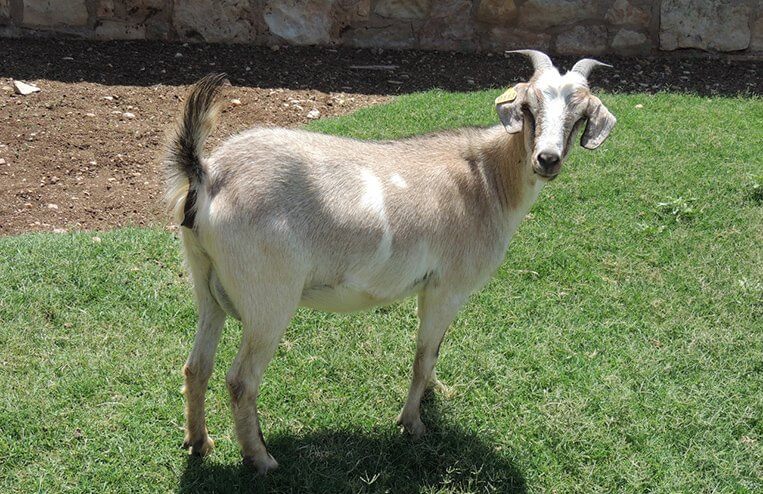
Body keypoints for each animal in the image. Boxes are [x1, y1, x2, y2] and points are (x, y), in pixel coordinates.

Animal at [164, 50, 616, 474]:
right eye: (527, 107)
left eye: (579, 115)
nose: (548, 159)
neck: (487, 181)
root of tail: (208, 172)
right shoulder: (447, 287)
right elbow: (424, 354)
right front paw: (413, 423)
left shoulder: (429, 287)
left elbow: (435, 349)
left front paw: (435, 392)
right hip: (268, 297)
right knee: (241, 380)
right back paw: (261, 458)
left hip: (207, 283)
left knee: (196, 367)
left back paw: (199, 442)